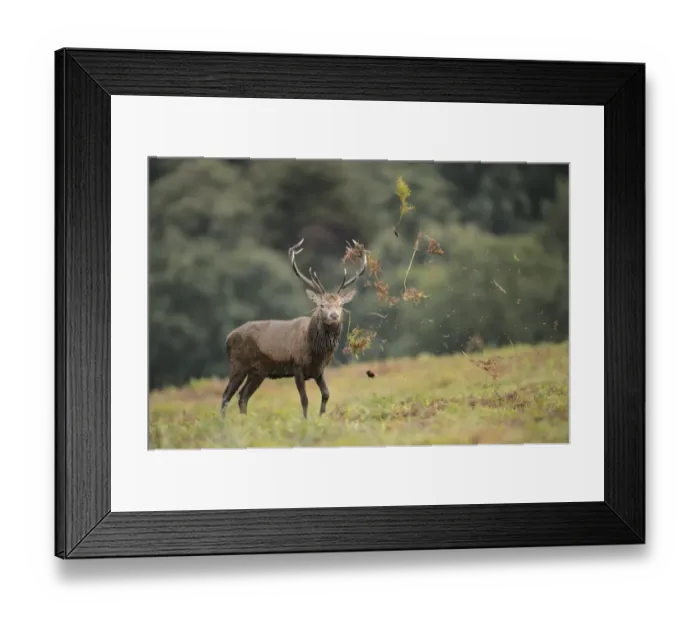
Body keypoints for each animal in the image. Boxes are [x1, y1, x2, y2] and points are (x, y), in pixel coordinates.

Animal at [220, 238, 367, 419]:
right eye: (321, 305)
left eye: (341, 305)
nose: (334, 316)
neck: (317, 352)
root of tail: (228, 338)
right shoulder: (297, 367)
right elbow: (304, 399)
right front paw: (305, 420)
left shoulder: (319, 371)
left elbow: (326, 394)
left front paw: (321, 416)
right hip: (238, 364)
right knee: (226, 395)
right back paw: (224, 422)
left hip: (258, 372)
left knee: (243, 396)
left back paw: (244, 420)